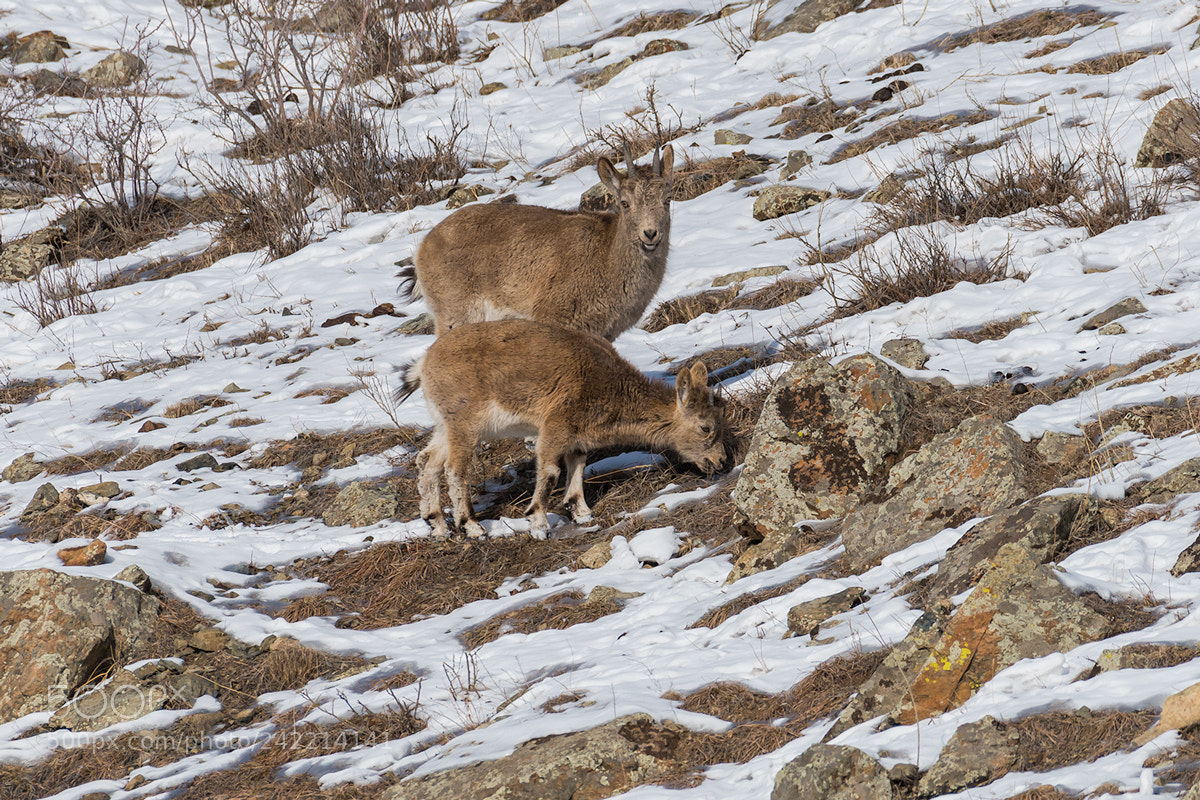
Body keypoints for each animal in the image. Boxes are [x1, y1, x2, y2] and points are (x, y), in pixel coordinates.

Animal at [395, 319, 728, 540]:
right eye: (705, 427)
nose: (721, 461)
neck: (608, 386)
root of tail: (423, 366)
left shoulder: (576, 434)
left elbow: (577, 464)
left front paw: (581, 512)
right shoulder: (555, 424)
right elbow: (550, 471)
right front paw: (539, 524)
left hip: (444, 426)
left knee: (426, 461)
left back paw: (437, 524)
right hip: (465, 424)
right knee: (455, 469)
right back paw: (472, 526)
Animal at [398, 142, 674, 342]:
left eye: (667, 199)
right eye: (625, 203)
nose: (650, 234)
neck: (606, 257)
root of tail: (423, 249)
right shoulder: (552, 316)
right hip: (457, 314)